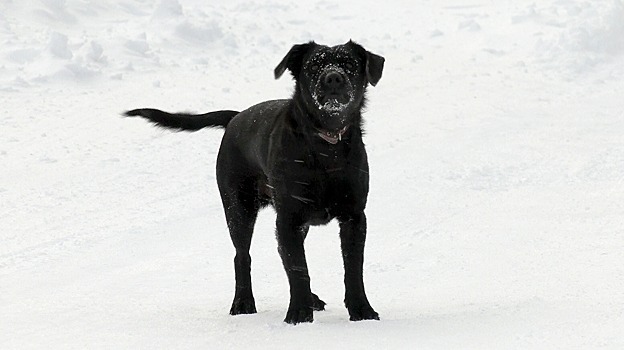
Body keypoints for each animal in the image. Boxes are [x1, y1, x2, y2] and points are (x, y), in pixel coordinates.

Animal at [124, 40, 382, 322]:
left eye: (350, 64)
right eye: (313, 65)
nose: (333, 77)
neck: (326, 146)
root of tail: (235, 117)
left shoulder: (354, 217)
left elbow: (352, 269)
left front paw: (361, 310)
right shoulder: (289, 218)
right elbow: (298, 269)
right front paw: (298, 314)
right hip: (239, 209)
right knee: (242, 257)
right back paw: (243, 302)